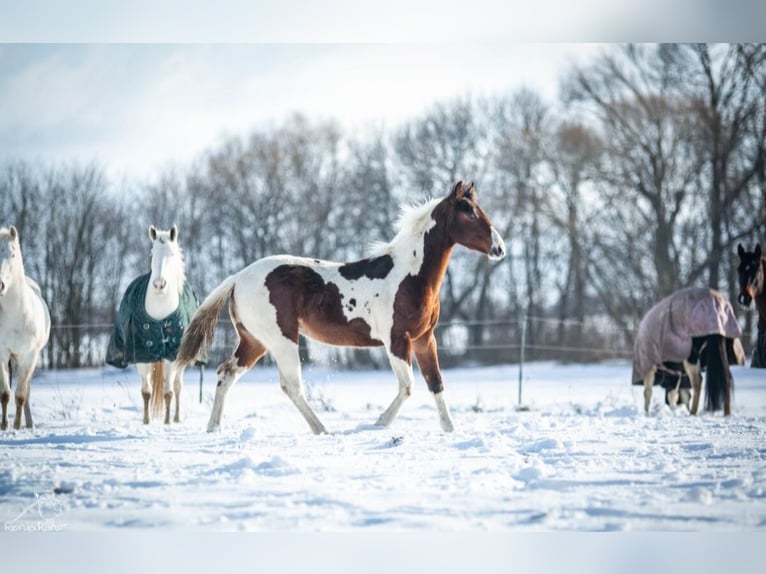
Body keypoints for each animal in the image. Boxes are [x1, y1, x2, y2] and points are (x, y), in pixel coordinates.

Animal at [177, 182, 508, 434]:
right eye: (469, 213)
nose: (500, 249)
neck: (410, 275)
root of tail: (238, 277)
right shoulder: (397, 340)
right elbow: (409, 385)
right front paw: (379, 423)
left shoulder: (425, 339)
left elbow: (435, 383)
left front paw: (450, 429)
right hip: (281, 340)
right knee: (291, 386)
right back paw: (321, 428)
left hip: (254, 341)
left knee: (225, 373)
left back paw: (214, 427)